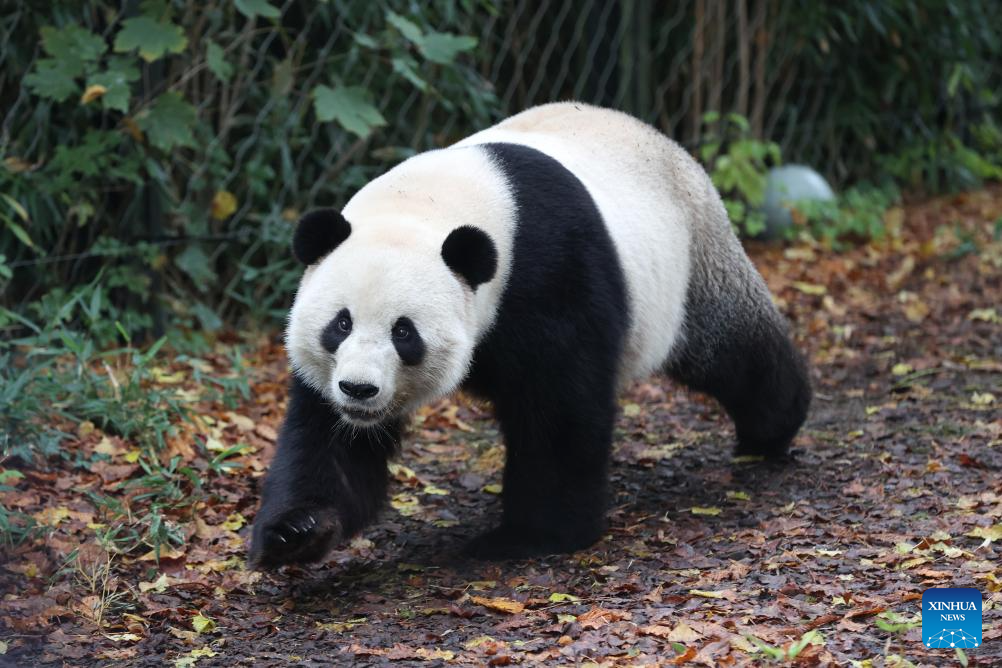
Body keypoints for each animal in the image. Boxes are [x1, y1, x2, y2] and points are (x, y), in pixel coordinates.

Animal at [246, 104, 809, 568]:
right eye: (340, 324)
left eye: (404, 332)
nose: (359, 390)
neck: (434, 204)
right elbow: (327, 440)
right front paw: (296, 532)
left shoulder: (549, 271)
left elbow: (559, 406)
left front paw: (532, 536)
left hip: (691, 262)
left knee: (734, 349)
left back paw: (774, 428)